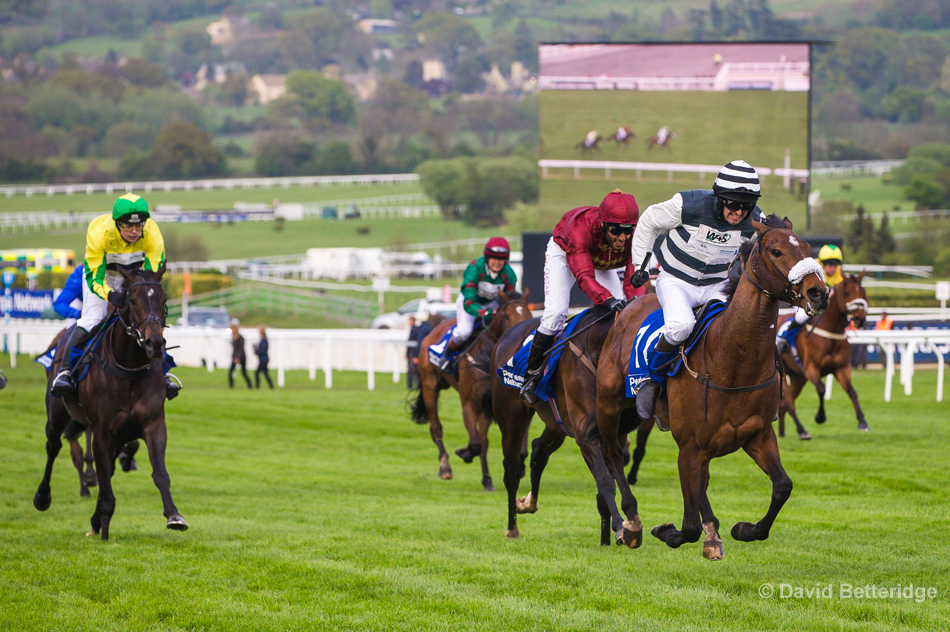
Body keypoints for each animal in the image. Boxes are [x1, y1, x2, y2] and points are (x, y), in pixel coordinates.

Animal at [34, 264, 186, 540]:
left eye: (164, 299)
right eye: (132, 300)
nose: (155, 343)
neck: (129, 367)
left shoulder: (153, 423)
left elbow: (158, 472)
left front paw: (174, 515)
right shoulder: (102, 430)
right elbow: (103, 475)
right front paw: (103, 523)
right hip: (57, 413)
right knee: (54, 447)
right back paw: (43, 496)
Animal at [410, 288, 532, 492]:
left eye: (530, 315)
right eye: (507, 316)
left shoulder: (495, 405)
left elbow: (494, 443)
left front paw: (501, 474)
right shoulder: (469, 403)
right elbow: (475, 444)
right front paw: (464, 453)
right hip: (430, 386)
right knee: (436, 428)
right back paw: (445, 467)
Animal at [490, 308, 640, 544]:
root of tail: (505, 337)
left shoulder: (612, 432)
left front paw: (607, 536)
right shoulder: (585, 433)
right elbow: (605, 481)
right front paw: (618, 526)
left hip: (555, 424)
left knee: (538, 452)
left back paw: (528, 503)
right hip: (512, 421)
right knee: (512, 473)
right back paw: (512, 528)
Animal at [600, 216, 828, 556]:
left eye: (807, 248)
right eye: (776, 251)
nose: (818, 292)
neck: (732, 360)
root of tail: (627, 308)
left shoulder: (757, 434)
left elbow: (782, 486)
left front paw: (745, 529)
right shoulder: (689, 446)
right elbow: (689, 526)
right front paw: (666, 531)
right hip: (609, 404)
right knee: (612, 454)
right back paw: (631, 523)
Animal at [780, 270, 872, 436]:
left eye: (863, 292)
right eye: (847, 292)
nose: (860, 319)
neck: (831, 331)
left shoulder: (841, 368)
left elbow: (852, 392)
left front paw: (862, 422)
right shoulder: (811, 369)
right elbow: (821, 389)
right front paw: (820, 417)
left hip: (797, 377)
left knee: (784, 403)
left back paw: (783, 432)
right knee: (789, 401)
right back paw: (801, 430)